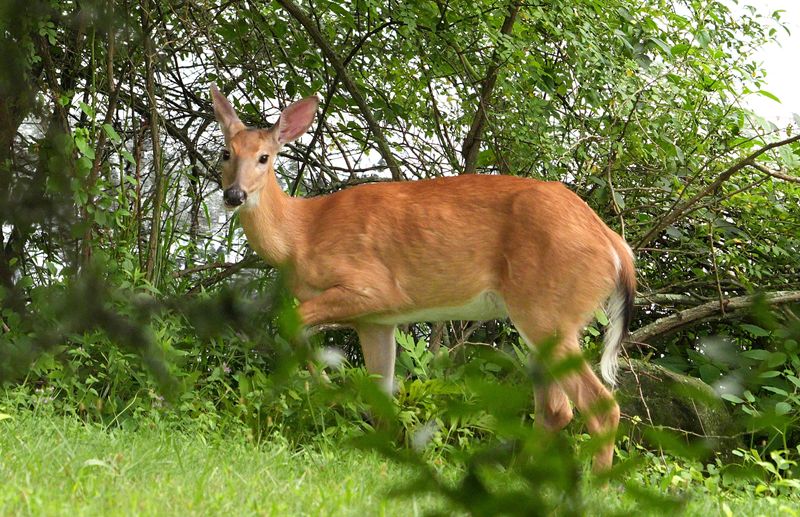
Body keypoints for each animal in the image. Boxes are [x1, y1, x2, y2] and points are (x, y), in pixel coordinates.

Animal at [210, 85, 636, 472]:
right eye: (226, 153)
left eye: (264, 157)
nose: (234, 195)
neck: (301, 234)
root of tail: (615, 245)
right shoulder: (375, 320)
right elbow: (382, 395)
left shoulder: (373, 288)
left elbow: (290, 321)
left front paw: (325, 387)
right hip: (545, 318)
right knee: (556, 408)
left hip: (548, 311)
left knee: (600, 405)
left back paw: (594, 484)